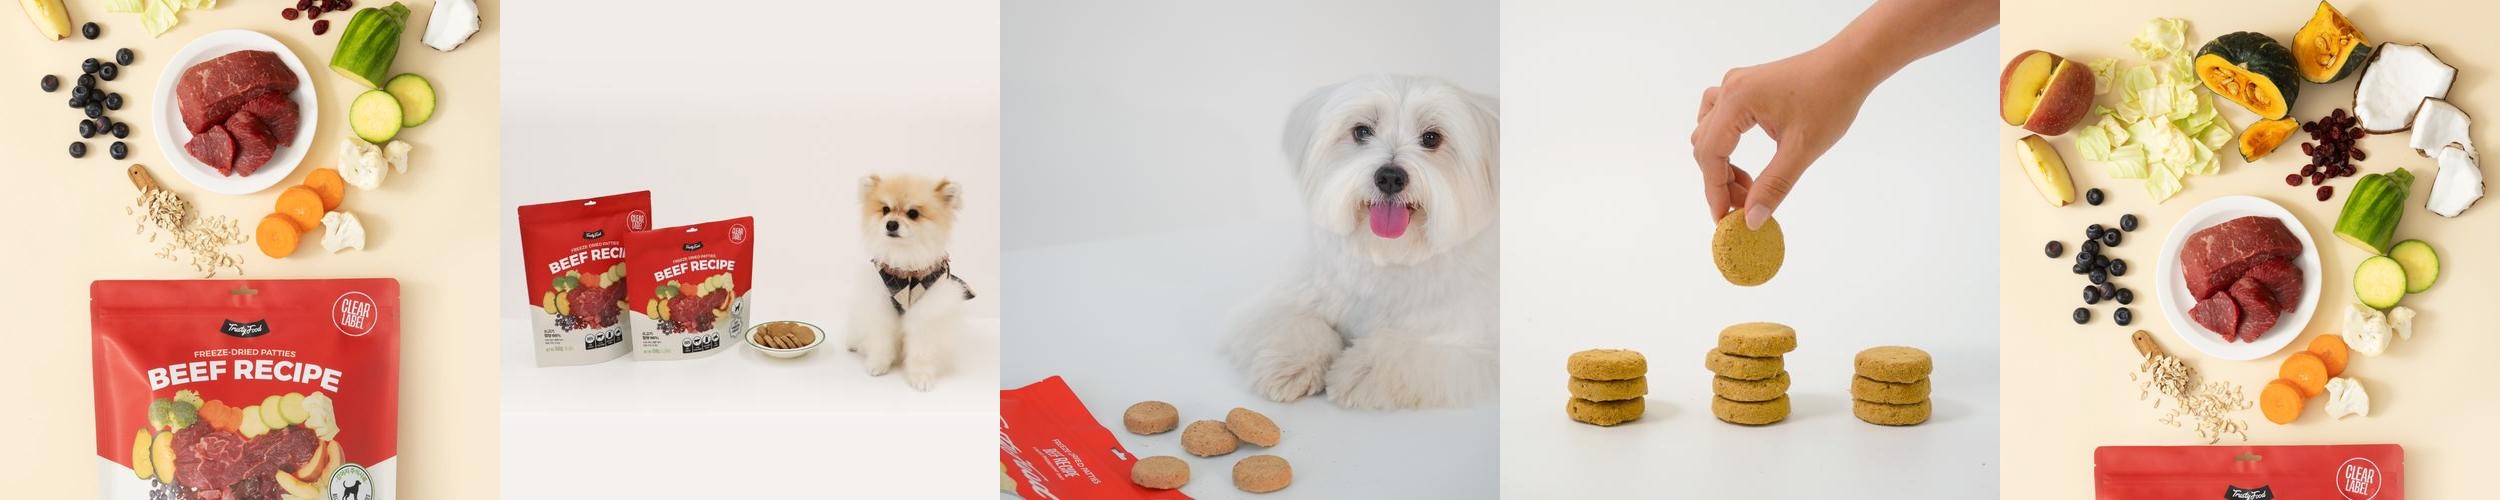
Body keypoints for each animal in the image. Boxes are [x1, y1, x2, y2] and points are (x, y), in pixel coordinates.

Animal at [846, 173, 973, 391]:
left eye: (913, 213)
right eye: (885, 210)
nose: (891, 224)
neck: (906, 271)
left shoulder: (926, 314)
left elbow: (921, 349)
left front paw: (921, 376)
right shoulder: (882, 307)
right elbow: (881, 339)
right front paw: (878, 364)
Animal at [1225, 75, 1500, 410]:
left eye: (1432, 138)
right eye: (1362, 131)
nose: (1390, 177)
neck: (1387, 256)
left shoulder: (1474, 345)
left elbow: (1404, 348)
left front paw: (1362, 369)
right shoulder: (1278, 300)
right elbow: (1294, 320)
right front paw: (1291, 361)